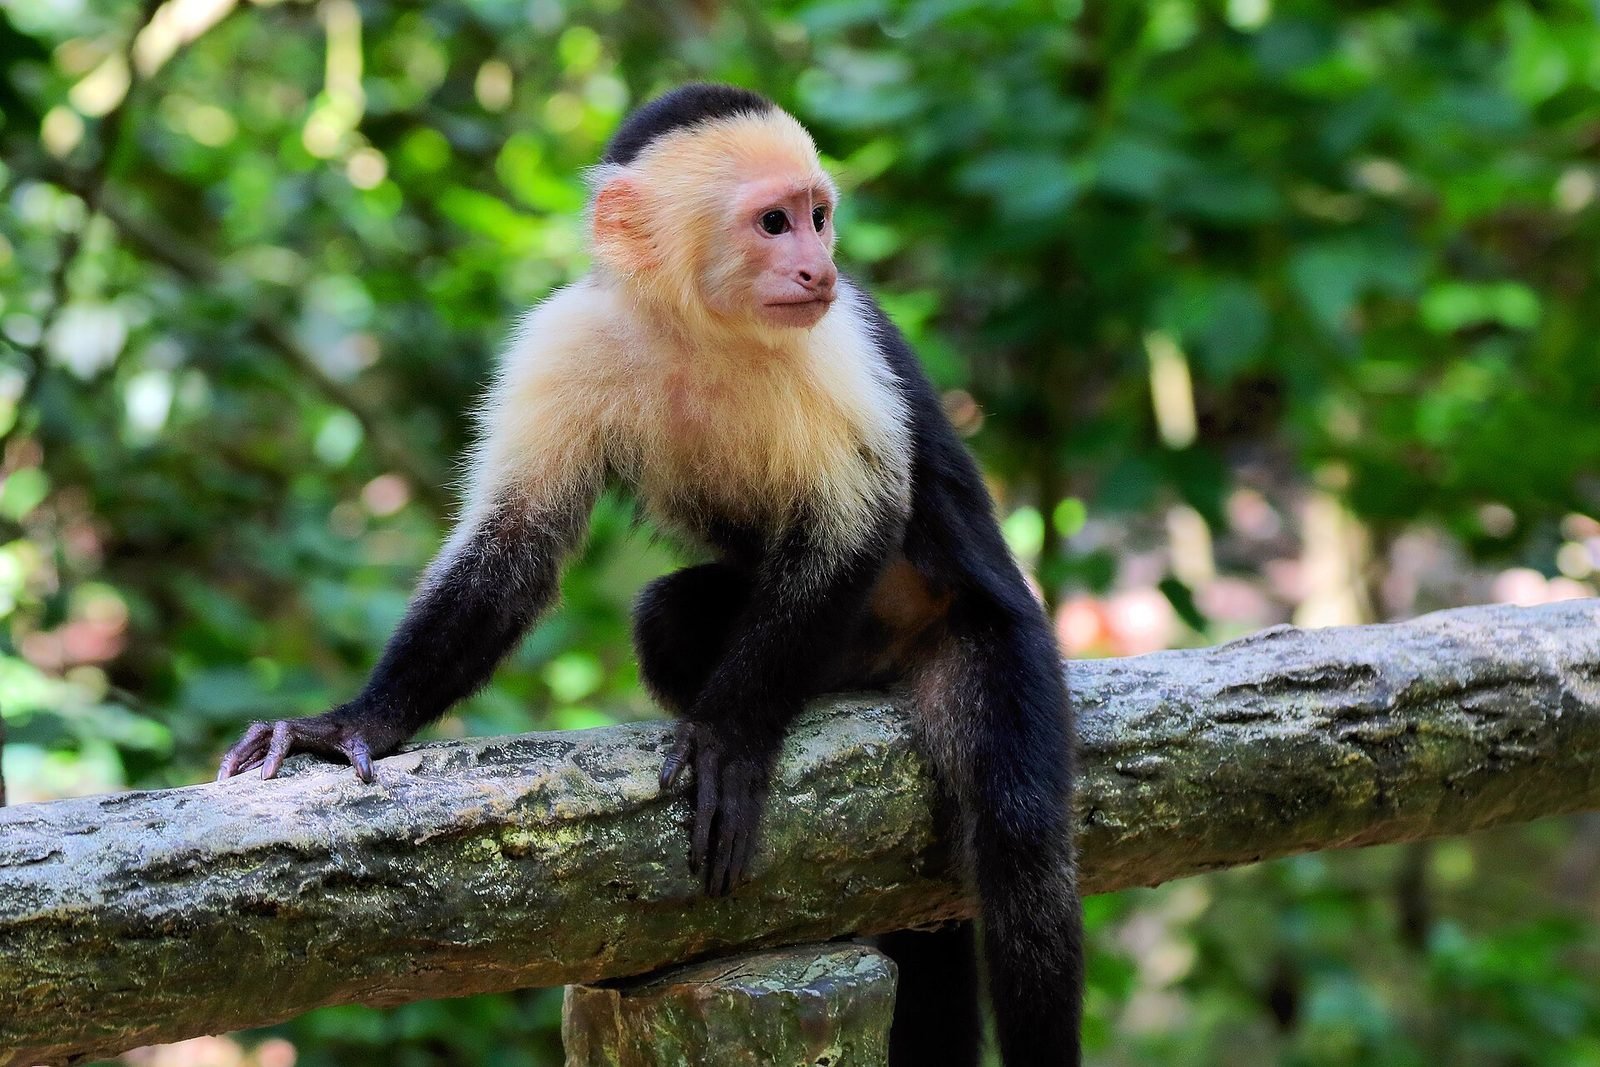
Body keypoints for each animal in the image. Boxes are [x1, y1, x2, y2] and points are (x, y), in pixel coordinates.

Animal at [218, 83, 1083, 1067]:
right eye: (776, 222)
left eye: (819, 218)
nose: (817, 267)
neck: (698, 324)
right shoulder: (567, 338)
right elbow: (515, 547)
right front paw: (355, 721)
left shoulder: (839, 342)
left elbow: (853, 527)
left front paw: (731, 737)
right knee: (666, 620)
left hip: (983, 629)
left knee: (1020, 844)